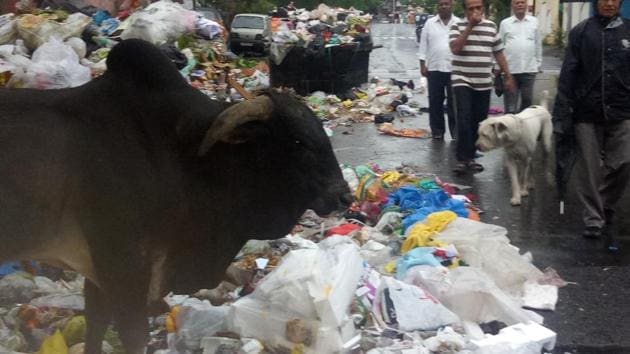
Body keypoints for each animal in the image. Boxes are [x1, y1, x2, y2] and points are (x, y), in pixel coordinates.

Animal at [0, 38, 354, 352]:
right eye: (298, 142)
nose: (344, 198)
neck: (182, 154)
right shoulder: (123, 263)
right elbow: (132, 334)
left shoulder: (100, 270)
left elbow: (96, 324)